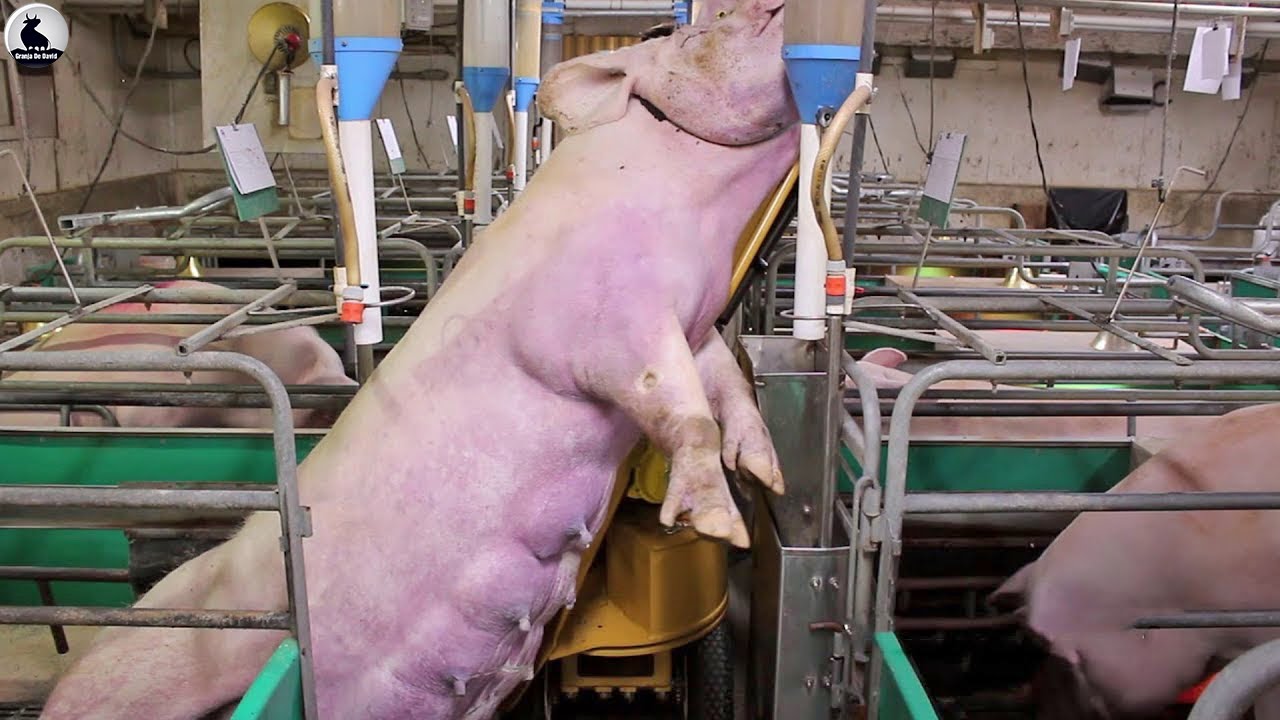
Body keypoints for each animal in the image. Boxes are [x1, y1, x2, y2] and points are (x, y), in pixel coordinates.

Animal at [39, 2, 795, 719]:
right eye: (700, 30)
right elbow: (682, 410)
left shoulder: (693, 329)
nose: (778, 8)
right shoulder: (605, 329)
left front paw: (767, 476)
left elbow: (728, 388)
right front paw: (723, 524)